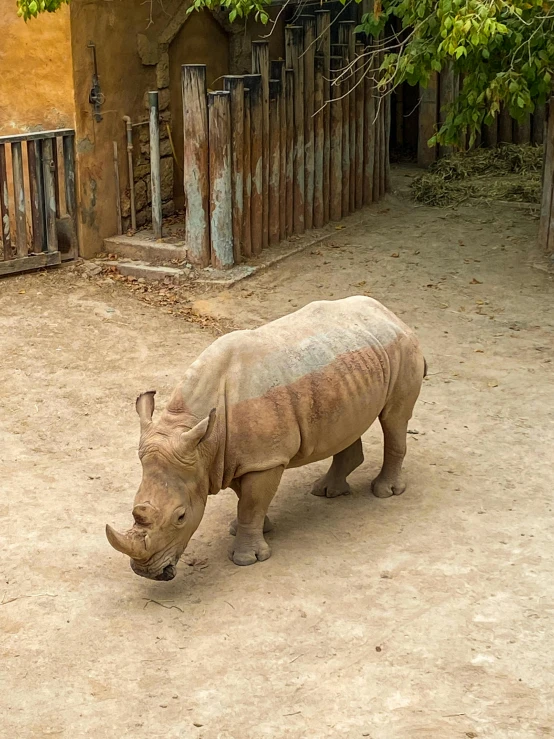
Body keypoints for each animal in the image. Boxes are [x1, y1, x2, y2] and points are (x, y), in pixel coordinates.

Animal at [105, 298, 424, 580]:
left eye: (181, 517)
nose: (147, 573)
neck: (200, 436)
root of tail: (391, 314)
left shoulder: (264, 460)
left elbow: (251, 502)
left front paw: (247, 559)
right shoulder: (234, 457)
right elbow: (244, 499)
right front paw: (249, 528)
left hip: (402, 349)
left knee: (394, 417)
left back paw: (384, 492)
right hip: (353, 362)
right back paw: (327, 491)